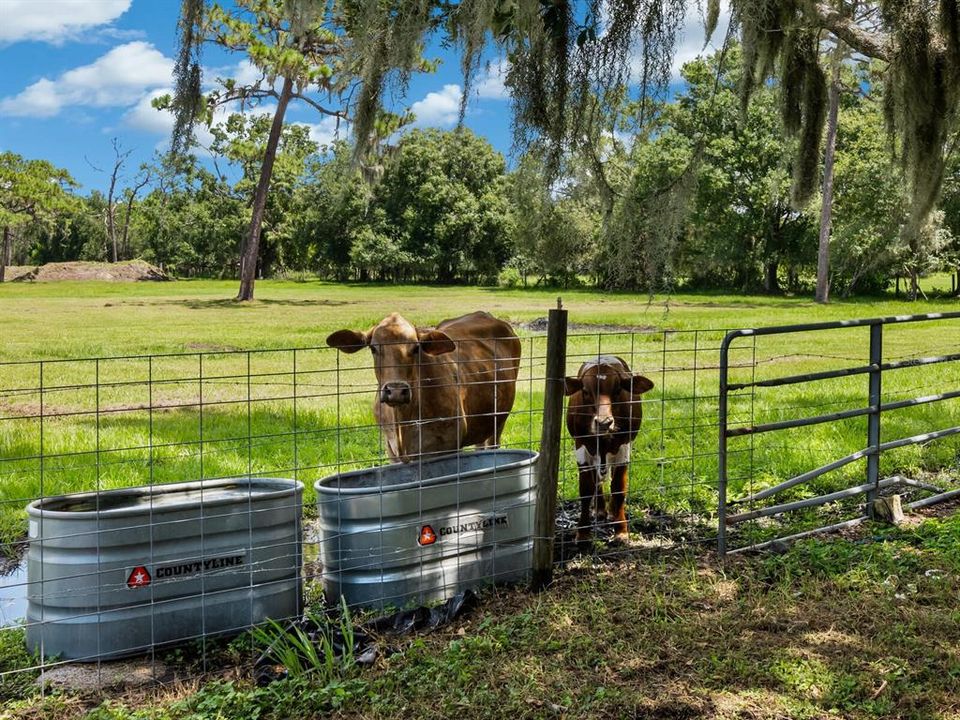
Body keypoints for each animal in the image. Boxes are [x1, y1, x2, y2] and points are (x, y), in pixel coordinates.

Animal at [326, 312, 520, 464]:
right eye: (373, 348)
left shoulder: (449, 447)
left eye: (415, 348)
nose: (396, 391)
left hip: (498, 421)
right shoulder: (390, 449)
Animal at [564, 358, 652, 544]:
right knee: (597, 479)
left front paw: (621, 530)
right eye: (585, 391)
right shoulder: (581, 446)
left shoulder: (623, 446)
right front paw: (583, 533)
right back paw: (600, 510)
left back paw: (612, 511)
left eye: (618, 390)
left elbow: (618, 488)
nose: (604, 422)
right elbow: (586, 489)